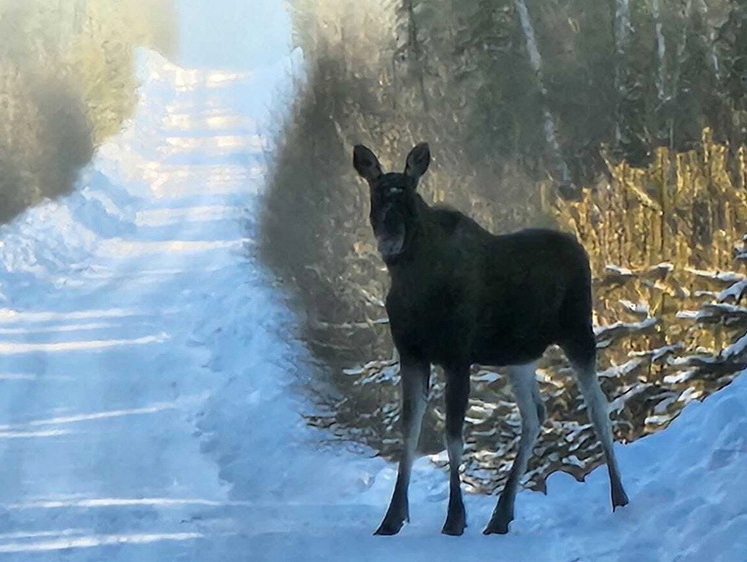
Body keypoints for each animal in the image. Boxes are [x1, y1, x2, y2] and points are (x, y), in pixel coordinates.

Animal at [354, 141, 628, 532]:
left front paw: (455, 519)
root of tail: (579, 248)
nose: (390, 239)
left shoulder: (457, 356)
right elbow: (410, 432)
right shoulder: (412, 354)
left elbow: (453, 437)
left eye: (407, 194)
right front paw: (391, 518)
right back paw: (501, 515)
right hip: (520, 356)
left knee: (598, 409)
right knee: (535, 415)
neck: (412, 282)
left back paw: (619, 497)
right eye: (376, 193)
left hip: (578, 334)